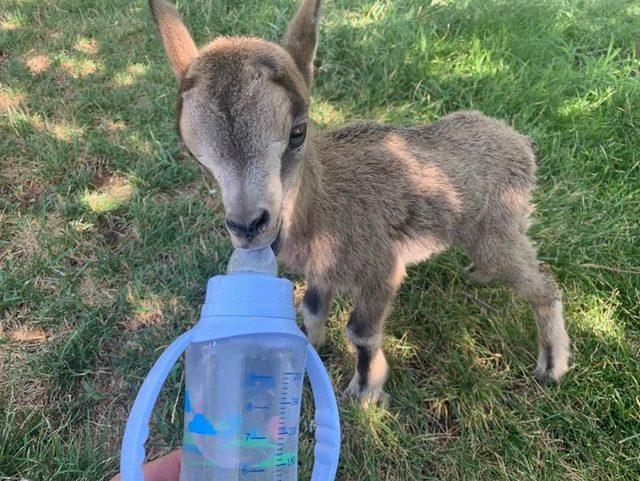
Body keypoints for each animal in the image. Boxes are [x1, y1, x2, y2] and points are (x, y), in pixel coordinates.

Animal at [149, 0, 568, 404]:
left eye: (298, 131)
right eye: (195, 154)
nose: (250, 227)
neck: (323, 211)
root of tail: (521, 145)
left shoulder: (381, 269)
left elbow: (361, 333)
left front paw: (365, 391)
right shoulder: (321, 271)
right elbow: (312, 308)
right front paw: (310, 349)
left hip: (498, 225)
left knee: (543, 285)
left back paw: (552, 364)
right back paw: (479, 273)